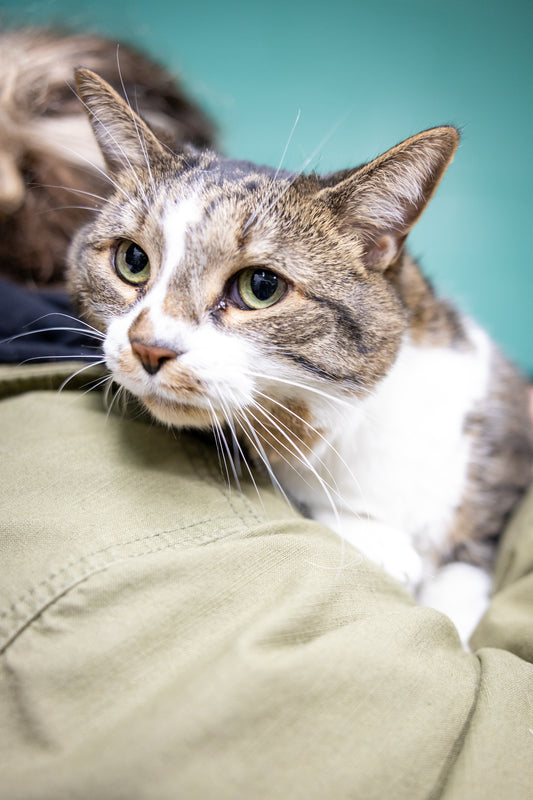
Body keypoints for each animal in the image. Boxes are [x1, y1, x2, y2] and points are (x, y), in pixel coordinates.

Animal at [67, 68, 533, 644]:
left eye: (261, 287)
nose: (149, 345)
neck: (345, 426)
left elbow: (463, 582)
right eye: (132, 260)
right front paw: (380, 544)